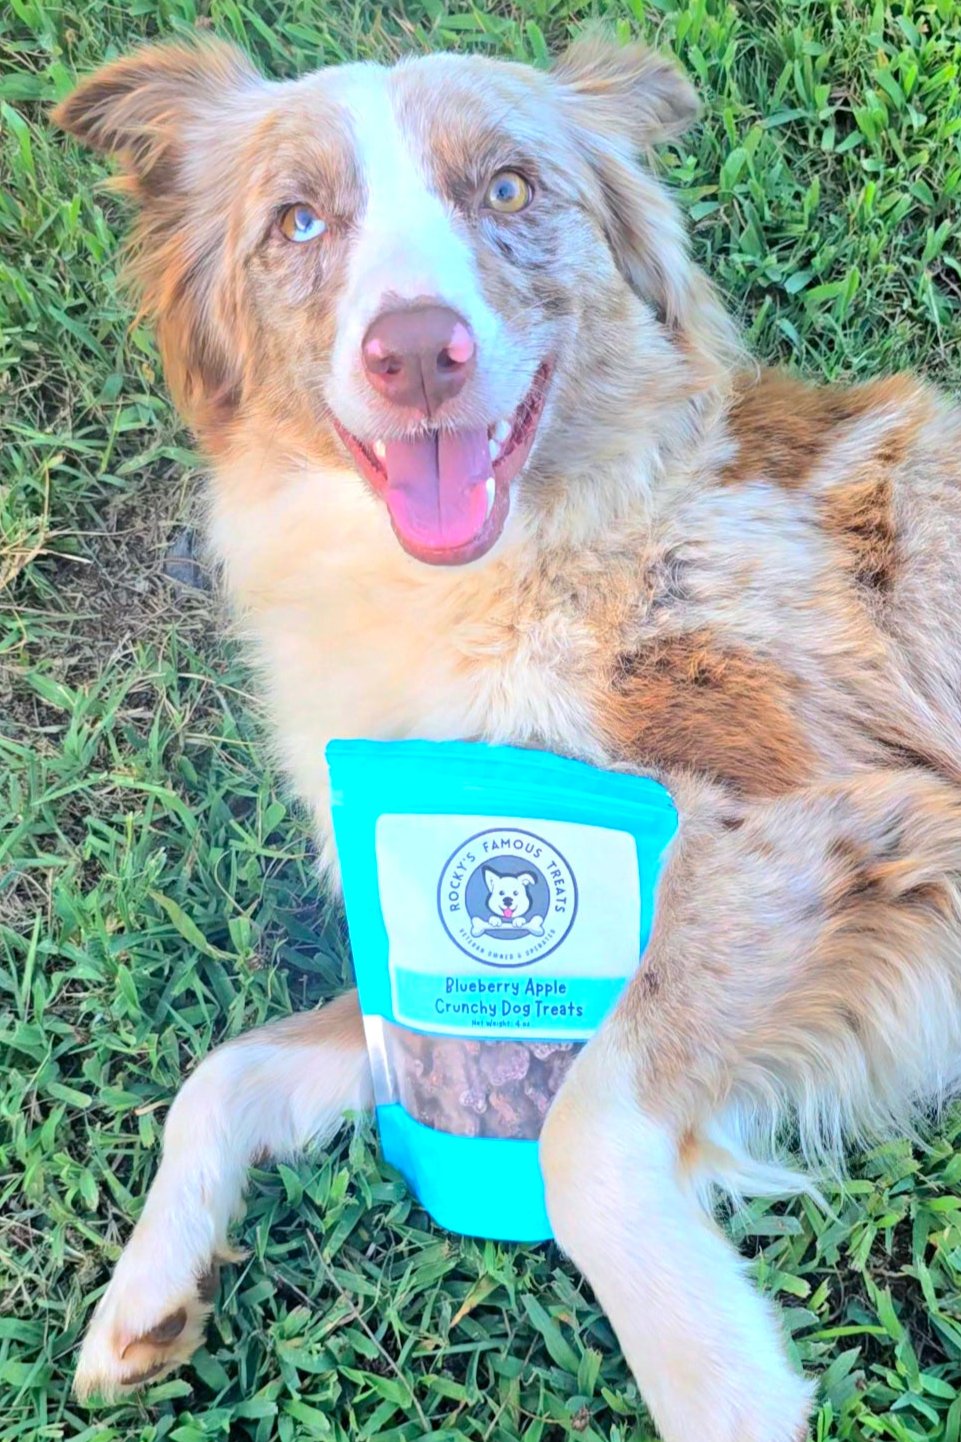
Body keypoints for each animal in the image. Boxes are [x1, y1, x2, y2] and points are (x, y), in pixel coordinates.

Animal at [54, 33, 958, 1442]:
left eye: (511, 189)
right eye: (297, 221)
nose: (416, 353)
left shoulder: (833, 819)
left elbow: (578, 1132)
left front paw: (722, 1379)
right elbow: (228, 1069)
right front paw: (147, 1289)